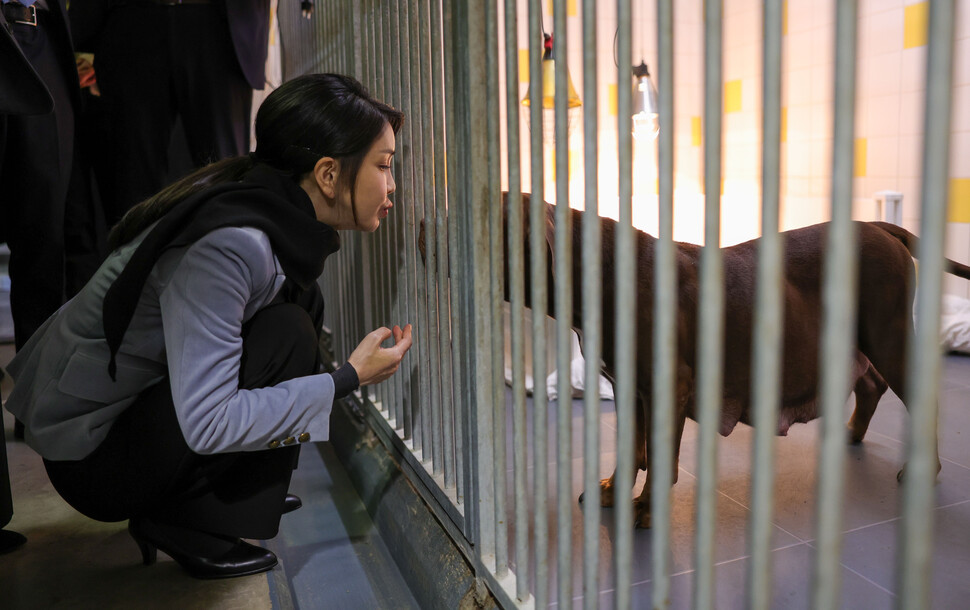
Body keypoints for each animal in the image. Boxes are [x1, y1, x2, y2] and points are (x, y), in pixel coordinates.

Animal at [420, 192, 968, 524]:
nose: (422, 221)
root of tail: (879, 226)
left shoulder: (667, 389)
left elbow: (661, 457)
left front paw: (644, 510)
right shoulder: (628, 387)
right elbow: (631, 448)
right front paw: (614, 490)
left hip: (888, 336)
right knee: (871, 384)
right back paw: (852, 434)